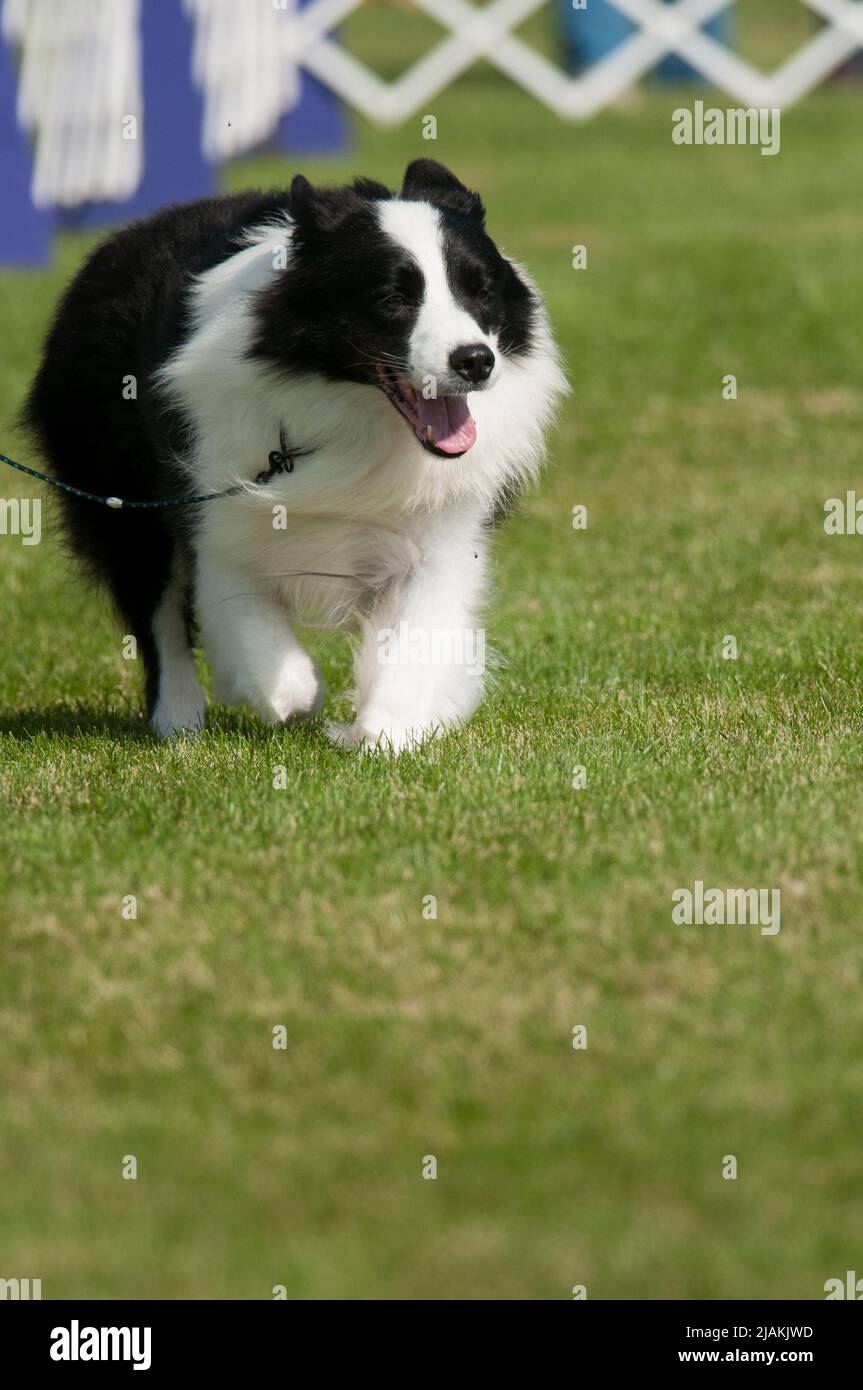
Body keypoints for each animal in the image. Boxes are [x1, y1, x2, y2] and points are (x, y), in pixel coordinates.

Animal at [25, 161, 564, 750]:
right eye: (393, 298)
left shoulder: (441, 528)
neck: (355, 414)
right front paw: (295, 696)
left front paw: (387, 731)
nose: (475, 361)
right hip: (116, 490)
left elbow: (417, 632)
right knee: (155, 607)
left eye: (481, 291)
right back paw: (178, 716)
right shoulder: (215, 506)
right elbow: (244, 616)